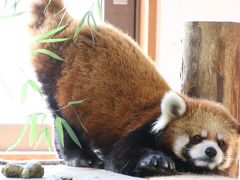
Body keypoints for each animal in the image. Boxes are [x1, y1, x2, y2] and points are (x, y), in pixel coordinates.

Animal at [29, 0, 239, 177]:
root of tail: (70, 24)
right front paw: (154, 162)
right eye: (196, 137)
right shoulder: (143, 127)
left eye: (222, 143)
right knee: (65, 122)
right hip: (58, 77)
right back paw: (80, 156)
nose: (211, 151)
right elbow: (119, 155)